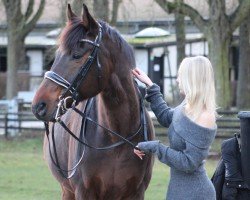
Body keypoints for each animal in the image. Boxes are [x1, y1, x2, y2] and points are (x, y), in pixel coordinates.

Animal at [31, 3, 154, 200]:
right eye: (56, 55)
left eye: (76, 55)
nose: (39, 105)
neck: (116, 136)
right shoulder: (84, 192)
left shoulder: (136, 192)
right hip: (67, 190)